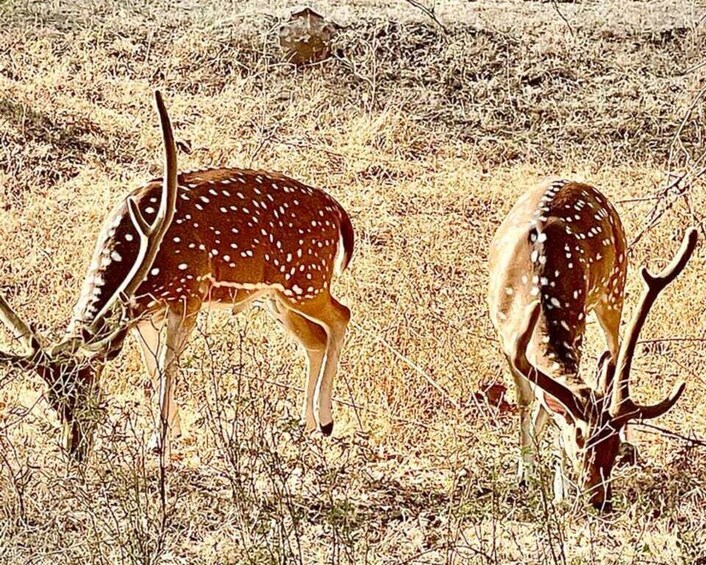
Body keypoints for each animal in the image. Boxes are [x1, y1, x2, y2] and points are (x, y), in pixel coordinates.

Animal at [0, 92, 352, 460]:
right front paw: (174, 430)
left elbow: (168, 364)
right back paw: (308, 424)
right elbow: (151, 366)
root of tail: (338, 212)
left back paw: (326, 420)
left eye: (89, 393)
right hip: (277, 298)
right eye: (53, 401)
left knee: (341, 316)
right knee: (316, 339)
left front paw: (161, 439)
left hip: (305, 280)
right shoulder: (141, 313)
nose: (75, 450)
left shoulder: (189, 294)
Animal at [486, 180, 692, 512]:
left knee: (616, 351)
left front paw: (560, 490)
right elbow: (527, 401)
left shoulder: (576, 329)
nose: (600, 500)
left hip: (614, 286)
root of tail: (576, 181)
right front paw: (526, 472)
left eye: (613, 443)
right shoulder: (506, 340)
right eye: (581, 441)